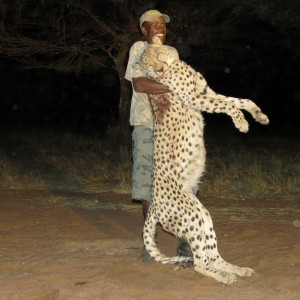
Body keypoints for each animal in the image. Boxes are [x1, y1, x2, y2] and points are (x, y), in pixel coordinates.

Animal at [137, 38, 268, 282]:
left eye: (155, 56)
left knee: (212, 255)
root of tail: (154, 206)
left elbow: (240, 100)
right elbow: (229, 105)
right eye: (146, 64)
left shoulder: (207, 91)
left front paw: (259, 115)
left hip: (203, 216)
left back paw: (236, 270)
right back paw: (224, 276)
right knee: (200, 262)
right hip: (193, 216)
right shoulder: (195, 97)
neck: (173, 63)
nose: (157, 70)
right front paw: (242, 123)